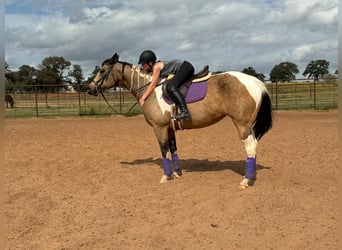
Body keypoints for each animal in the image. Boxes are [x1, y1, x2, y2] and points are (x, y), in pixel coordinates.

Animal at [88, 53, 272, 188]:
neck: (150, 88)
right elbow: (173, 149)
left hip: (242, 125)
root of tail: (255, 81)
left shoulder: (159, 127)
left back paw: (245, 181)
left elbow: (164, 150)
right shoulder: (169, 128)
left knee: (250, 148)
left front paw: (165, 176)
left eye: (103, 70)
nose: (90, 89)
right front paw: (176, 174)